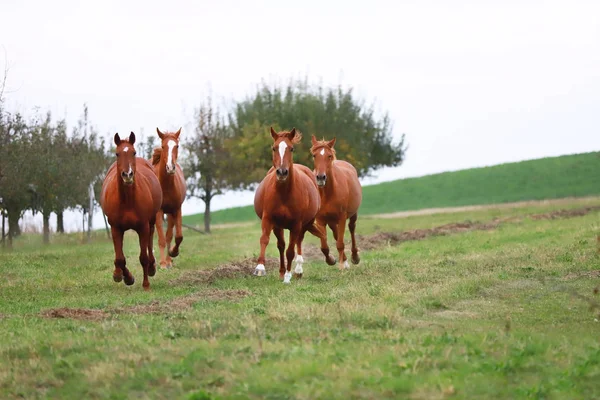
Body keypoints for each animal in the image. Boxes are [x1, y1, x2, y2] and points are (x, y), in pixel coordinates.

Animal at [100, 133, 163, 290]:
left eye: (133, 152)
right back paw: (118, 272)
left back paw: (152, 268)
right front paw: (126, 277)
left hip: (151, 222)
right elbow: (120, 258)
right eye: (117, 154)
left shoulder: (142, 227)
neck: (127, 201)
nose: (127, 175)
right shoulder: (115, 228)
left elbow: (143, 257)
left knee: (150, 240)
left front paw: (146, 284)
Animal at [253, 126, 338, 282]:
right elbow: (264, 239)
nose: (282, 172)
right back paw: (282, 271)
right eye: (274, 148)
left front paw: (288, 276)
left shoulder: (296, 224)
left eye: (291, 148)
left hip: (304, 224)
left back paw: (298, 270)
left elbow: (291, 250)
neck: (284, 193)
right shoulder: (268, 219)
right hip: (278, 226)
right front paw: (260, 268)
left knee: (300, 241)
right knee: (281, 245)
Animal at [312, 136, 364, 270]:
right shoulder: (320, 220)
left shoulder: (342, 217)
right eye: (314, 155)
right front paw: (331, 260)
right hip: (331, 220)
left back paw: (354, 257)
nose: (320, 177)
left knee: (351, 228)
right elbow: (324, 247)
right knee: (336, 234)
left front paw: (343, 265)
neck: (326, 193)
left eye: (329, 156)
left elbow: (340, 243)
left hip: (352, 214)